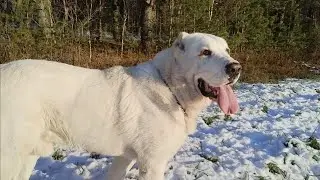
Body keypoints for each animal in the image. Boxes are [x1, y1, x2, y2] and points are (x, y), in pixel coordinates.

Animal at [0, 32, 240, 180]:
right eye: (205, 52)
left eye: (227, 50)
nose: (236, 68)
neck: (169, 85)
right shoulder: (152, 163)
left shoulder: (125, 158)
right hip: (10, 157)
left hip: (27, 155)